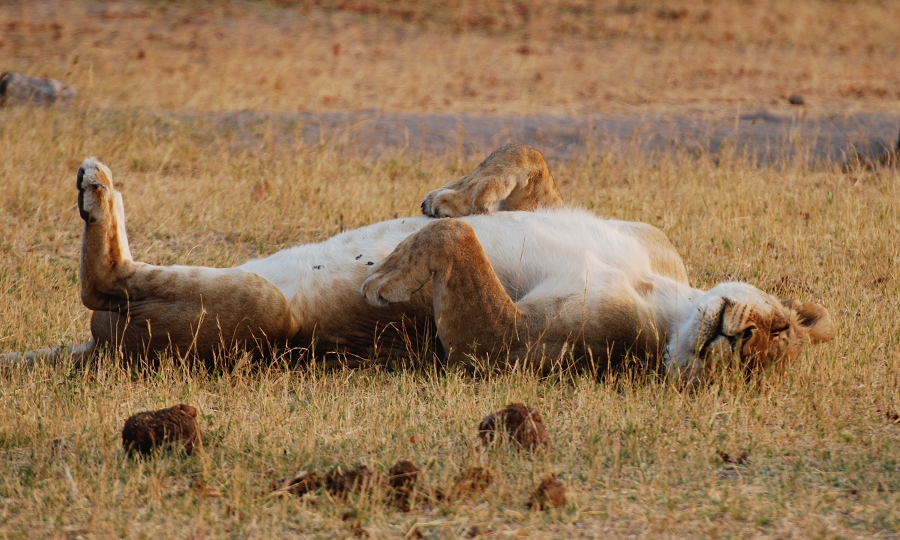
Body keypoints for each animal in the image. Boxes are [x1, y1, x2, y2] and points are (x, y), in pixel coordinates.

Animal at [0, 141, 832, 382]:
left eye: (762, 364)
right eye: (782, 330)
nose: (739, 342)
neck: (665, 294)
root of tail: (95, 352)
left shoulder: (510, 352)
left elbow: (455, 247)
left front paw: (385, 276)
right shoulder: (631, 231)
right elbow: (525, 160)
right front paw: (453, 194)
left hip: (260, 316)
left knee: (102, 286)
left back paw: (97, 191)